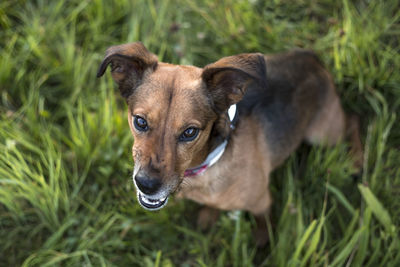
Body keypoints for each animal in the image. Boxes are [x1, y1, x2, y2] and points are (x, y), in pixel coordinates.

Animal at [97, 40, 362, 242]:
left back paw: (356, 160)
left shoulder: (261, 202)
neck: (207, 164)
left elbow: (263, 224)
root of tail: (312, 58)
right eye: (140, 122)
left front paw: (262, 243)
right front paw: (209, 215)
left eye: (190, 132)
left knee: (353, 120)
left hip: (323, 134)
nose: (146, 185)